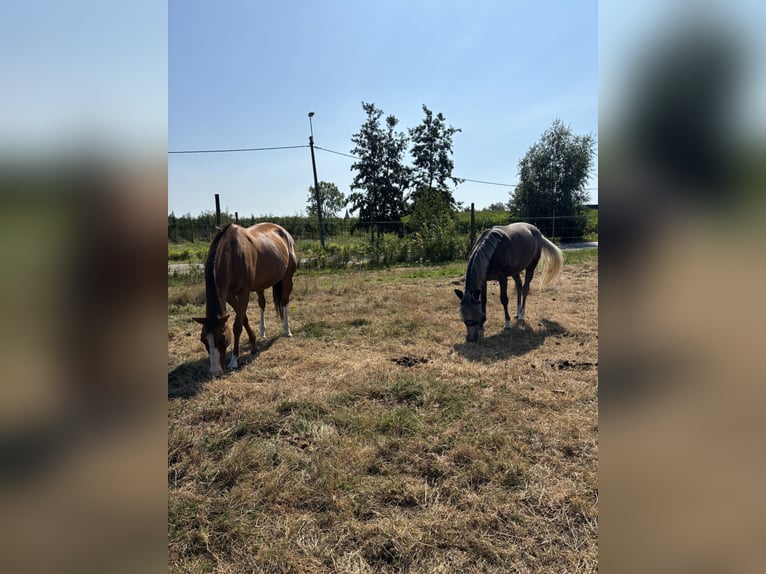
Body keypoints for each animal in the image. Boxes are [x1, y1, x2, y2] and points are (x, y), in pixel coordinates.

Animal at [193, 222, 297, 376]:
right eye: (203, 340)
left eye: (223, 338)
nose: (215, 371)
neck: (232, 255)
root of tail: (283, 231)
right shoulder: (229, 295)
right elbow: (243, 318)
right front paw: (253, 344)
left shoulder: (244, 292)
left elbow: (237, 325)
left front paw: (234, 360)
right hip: (261, 284)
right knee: (262, 303)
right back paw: (262, 331)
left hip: (287, 277)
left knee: (284, 301)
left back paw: (287, 329)